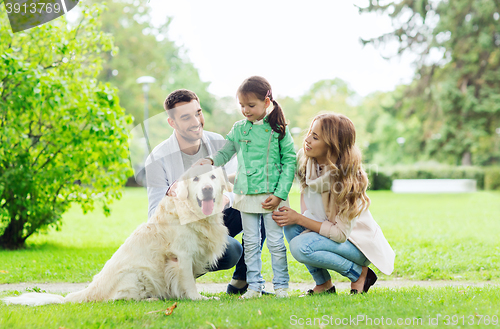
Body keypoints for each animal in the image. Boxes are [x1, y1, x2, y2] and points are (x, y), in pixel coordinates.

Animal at [3, 164, 230, 304]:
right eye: (196, 179)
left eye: (212, 177)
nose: (207, 189)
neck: (197, 215)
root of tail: (89, 290)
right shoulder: (182, 256)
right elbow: (189, 283)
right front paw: (198, 298)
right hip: (138, 274)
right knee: (117, 299)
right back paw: (152, 299)